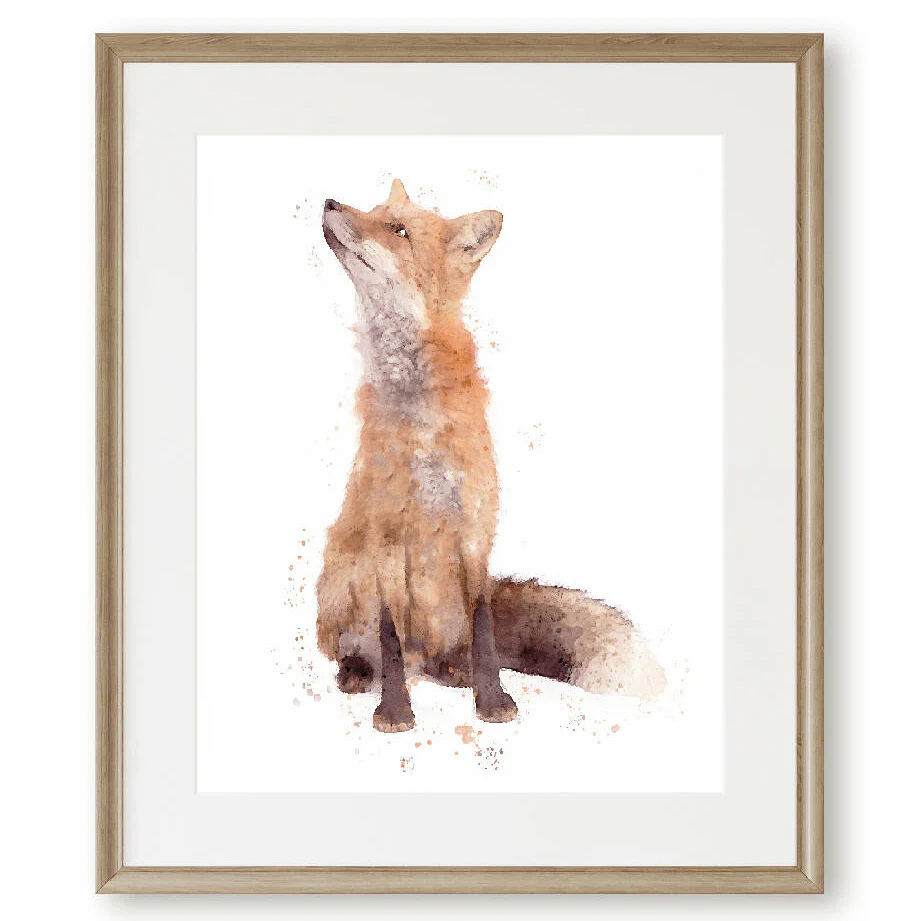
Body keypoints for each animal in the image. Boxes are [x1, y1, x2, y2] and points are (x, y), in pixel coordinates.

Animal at [316, 179, 666, 732]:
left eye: (397, 228)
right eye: (372, 210)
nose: (329, 201)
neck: (422, 421)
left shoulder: (476, 526)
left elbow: (485, 629)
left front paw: (494, 701)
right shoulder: (385, 537)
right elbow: (389, 636)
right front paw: (395, 711)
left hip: (442, 606)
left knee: (451, 649)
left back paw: (453, 670)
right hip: (342, 574)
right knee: (379, 650)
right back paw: (359, 671)